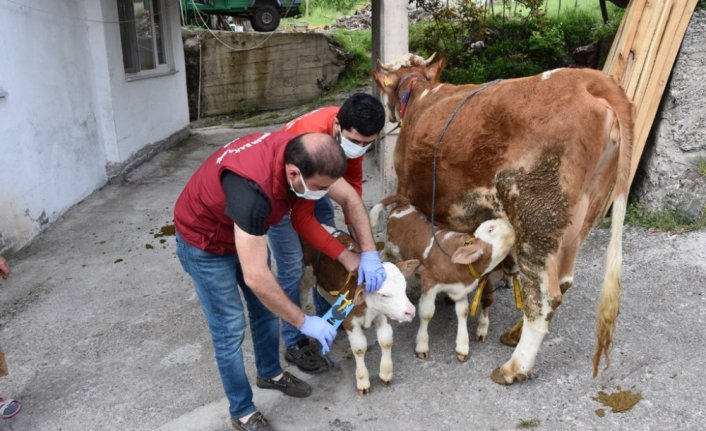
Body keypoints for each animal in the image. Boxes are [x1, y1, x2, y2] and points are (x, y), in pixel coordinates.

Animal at [298, 231, 418, 396]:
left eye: (404, 286)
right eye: (383, 295)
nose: (410, 312)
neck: (367, 306)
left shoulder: (382, 314)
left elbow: (386, 341)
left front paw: (385, 374)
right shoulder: (351, 321)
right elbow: (360, 348)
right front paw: (363, 382)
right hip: (306, 272)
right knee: (303, 292)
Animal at [368, 194, 512, 362]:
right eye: (491, 228)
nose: (508, 221)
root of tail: (404, 204)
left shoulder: (460, 288)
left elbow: (462, 312)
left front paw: (462, 347)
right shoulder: (430, 282)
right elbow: (426, 312)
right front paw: (422, 346)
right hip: (390, 248)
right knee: (383, 256)